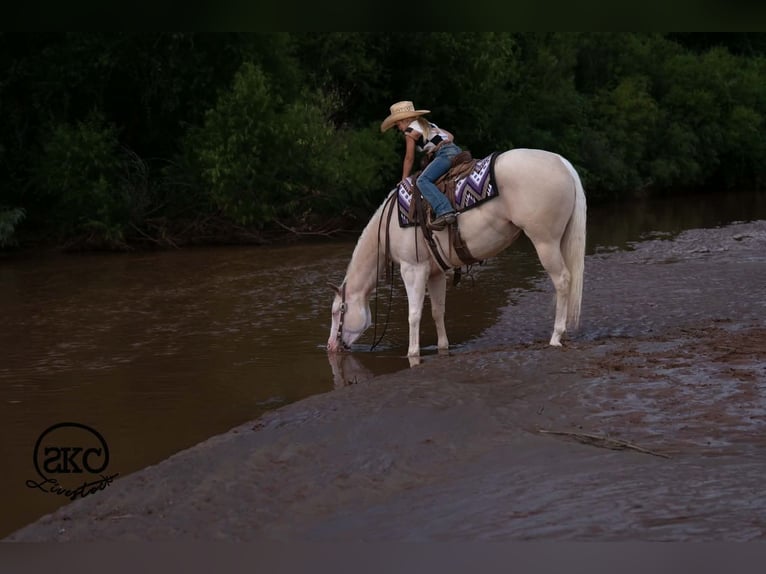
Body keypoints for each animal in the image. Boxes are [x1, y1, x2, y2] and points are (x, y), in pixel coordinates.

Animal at [326, 147, 587, 358]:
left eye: (337, 312)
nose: (330, 346)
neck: (390, 224)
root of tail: (562, 162)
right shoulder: (435, 273)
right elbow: (437, 312)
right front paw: (443, 347)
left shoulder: (413, 269)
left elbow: (414, 314)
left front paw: (412, 353)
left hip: (545, 242)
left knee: (563, 280)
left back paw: (556, 336)